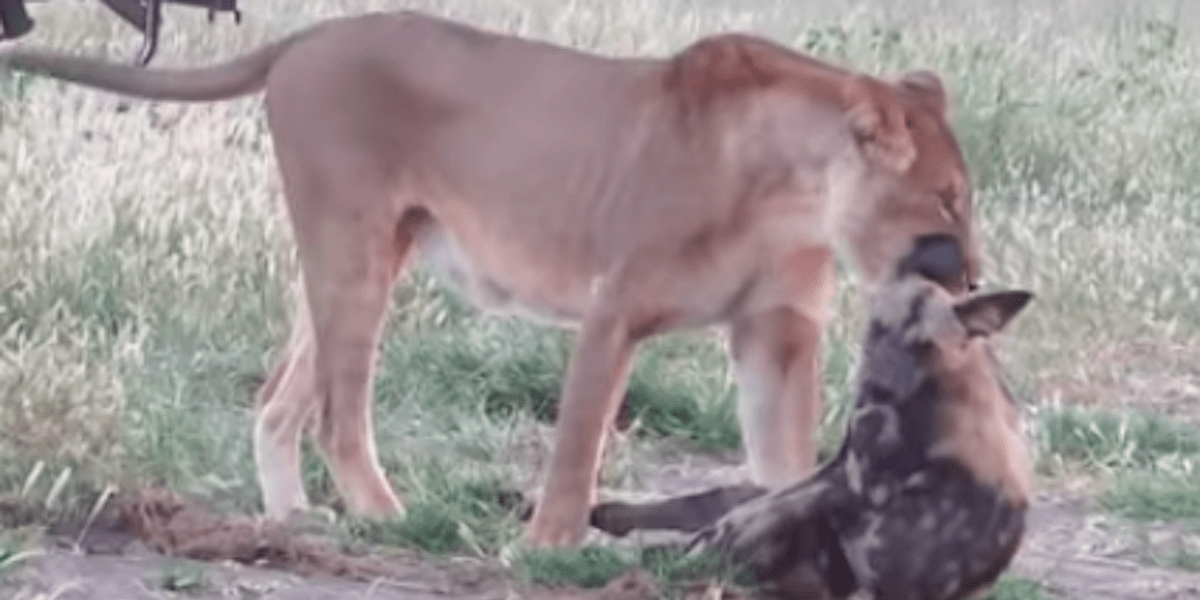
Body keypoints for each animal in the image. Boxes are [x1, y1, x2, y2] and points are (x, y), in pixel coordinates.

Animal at [1, 10, 981, 547]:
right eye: (949, 199)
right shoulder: (615, 309)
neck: (797, 194)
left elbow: (784, 464)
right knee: (336, 413)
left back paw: (293, 522)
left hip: (369, 251)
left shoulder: (777, 333)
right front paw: (546, 549)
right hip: (352, 246)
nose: (974, 278)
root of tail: (309, 36)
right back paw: (388, 517)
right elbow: (578, 446)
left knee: (282, 397)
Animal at [592, 264, 1033, 599]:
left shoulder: (848, 484)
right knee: (722, 506)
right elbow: (724, 509)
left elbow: (734, 521)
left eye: (920, 339)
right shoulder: (836, 474)